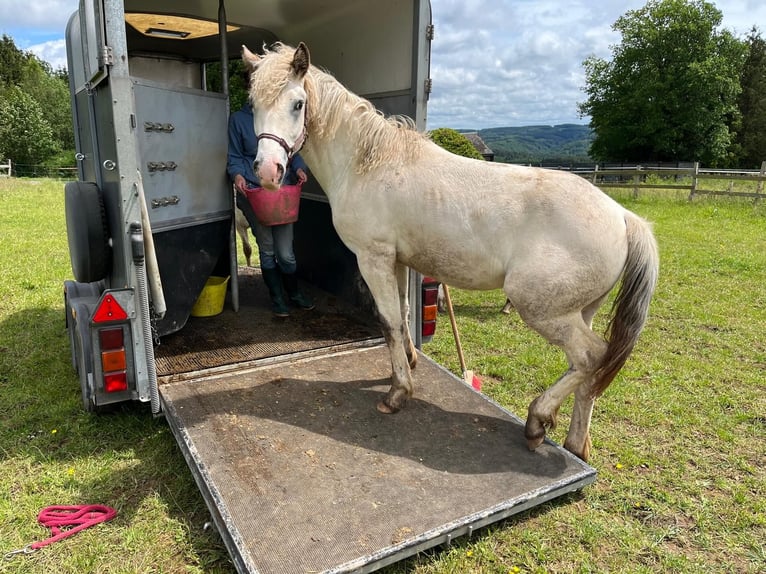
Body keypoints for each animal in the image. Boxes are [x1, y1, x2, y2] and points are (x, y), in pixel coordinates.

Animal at [244, 42, 660, 462]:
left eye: (297, 103)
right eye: (253, 103)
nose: (268, 171)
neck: (368, 163)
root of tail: (623, 216)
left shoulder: (373, 259)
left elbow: (388, 322)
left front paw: (398, 393)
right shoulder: (395, 262)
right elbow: (402, 314)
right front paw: (407, 364)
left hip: (541, 308)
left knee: (591, 358)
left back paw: (536, 420)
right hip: (580, 311)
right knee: (588, 372)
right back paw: (575, 443)